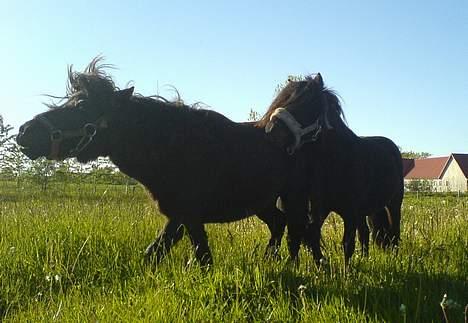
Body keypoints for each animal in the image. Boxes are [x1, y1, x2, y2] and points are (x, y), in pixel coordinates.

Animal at [16, 59, 308, 268]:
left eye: (82, 106)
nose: (24, 132)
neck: (173, 149)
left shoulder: (189, 215)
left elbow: (202, 259)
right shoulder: (176, 216)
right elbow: (154, 254)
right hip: (262, 203)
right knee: (278, 223)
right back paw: (269, 260)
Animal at [258, 75, 404, 266]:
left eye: (308, 103)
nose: (271, 130)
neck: (338, 162)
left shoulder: (350, 212)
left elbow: (347, 244)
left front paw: (346, 272)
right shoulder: (322, 208)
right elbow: (312, 234)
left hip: (393, 204)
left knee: (394, 233)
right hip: (365, 211)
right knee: (365, 233)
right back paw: (365, 259)